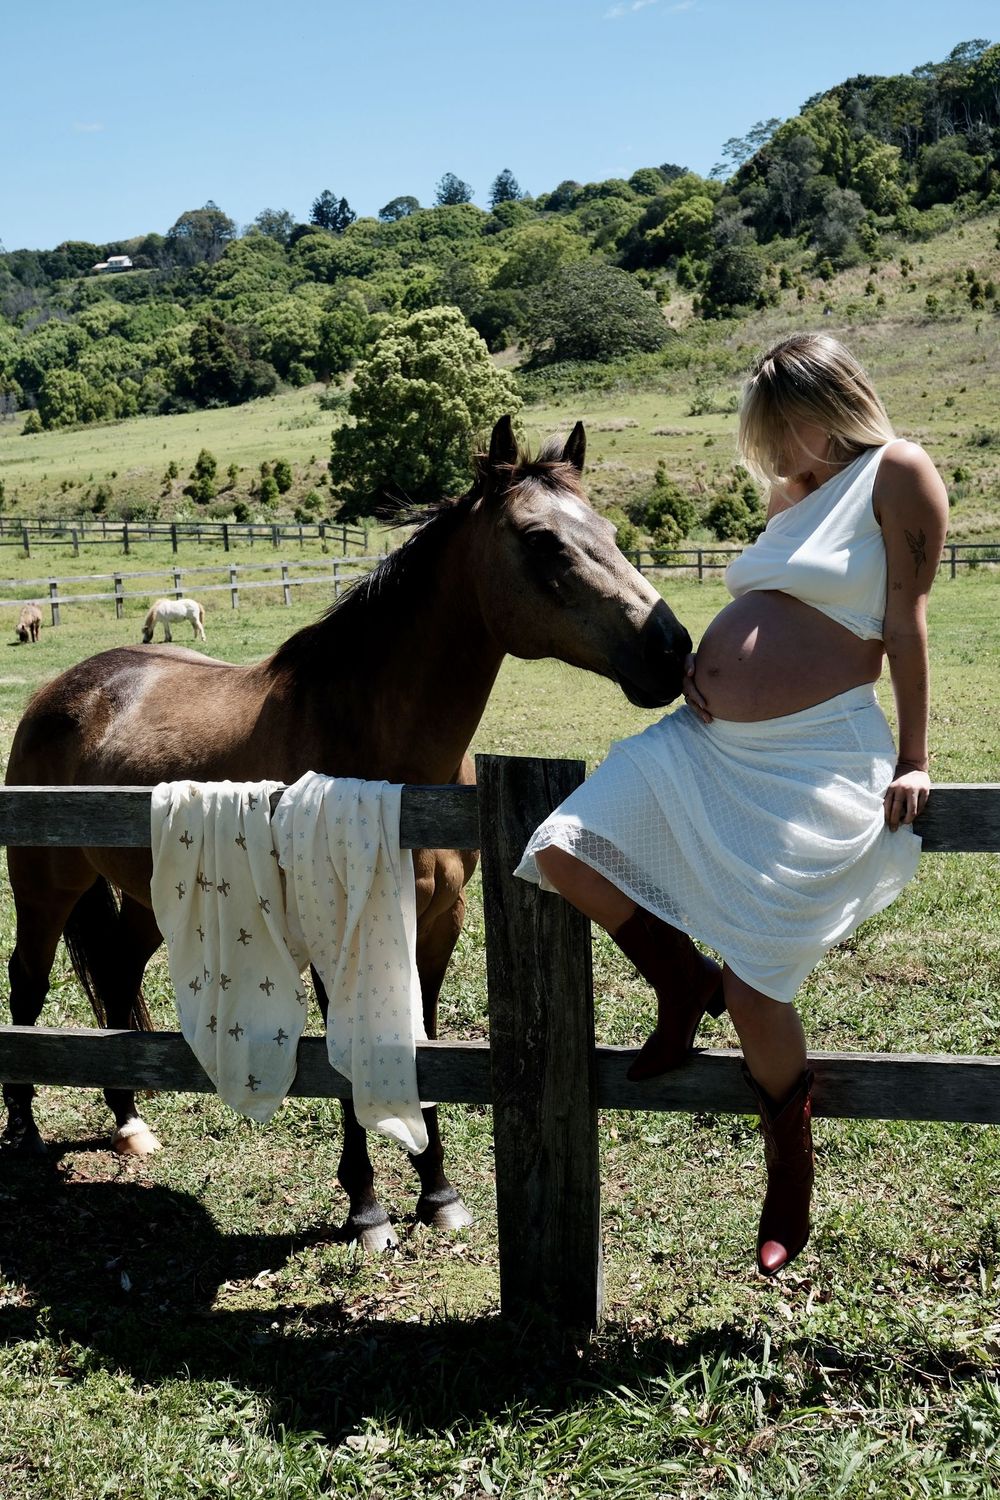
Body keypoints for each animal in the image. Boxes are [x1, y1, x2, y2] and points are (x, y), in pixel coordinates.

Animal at [2, 415, 692, 1250]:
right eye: (542, 542)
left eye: (612, 533)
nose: (672, 648)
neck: (384, 760)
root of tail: (62, 689)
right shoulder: (335, 932)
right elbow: (346, 1060)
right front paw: (367, 1207)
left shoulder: (437, 924)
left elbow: (420, 1047)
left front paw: (438, 1193)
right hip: (44, 884)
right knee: (27, 987)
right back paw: (24, 1134)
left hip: (143, 897)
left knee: (114, 975)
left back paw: (130, 1122)